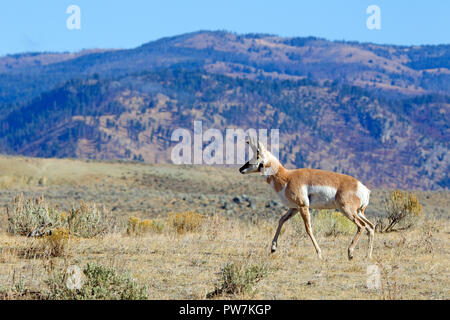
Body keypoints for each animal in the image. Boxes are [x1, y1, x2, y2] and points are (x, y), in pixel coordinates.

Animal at [241, 138, 374, 260]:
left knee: (361, 226)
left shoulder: (303, 206)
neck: (287, 177)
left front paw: (319, 253)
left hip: (347, 211)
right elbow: (281, 220)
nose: (240, 169)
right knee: (370, 227)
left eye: (257, 156)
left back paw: (350, 253)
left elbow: (308, 228)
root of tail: (362, 187)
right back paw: (367, 256)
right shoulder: (294, 208)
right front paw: (273, 248)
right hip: (358, 212)